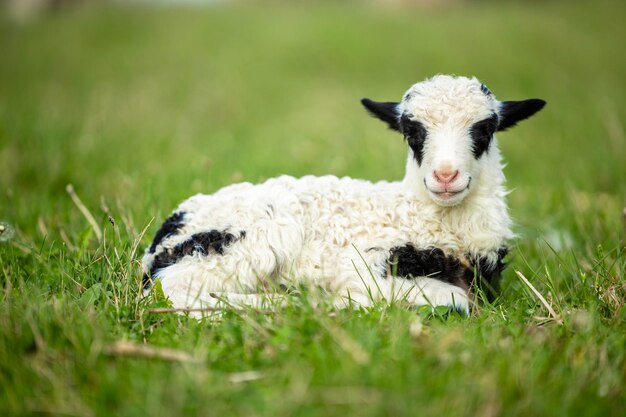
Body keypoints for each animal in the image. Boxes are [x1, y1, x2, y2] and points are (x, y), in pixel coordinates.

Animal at [140, 75, 540, 314]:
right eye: (411, 132)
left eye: (485, 129)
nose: (445, 176)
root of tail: (166, 234)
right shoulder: (364, 265)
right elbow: (455, 299)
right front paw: (342, 302)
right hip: (248, 239)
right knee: (172, 292)